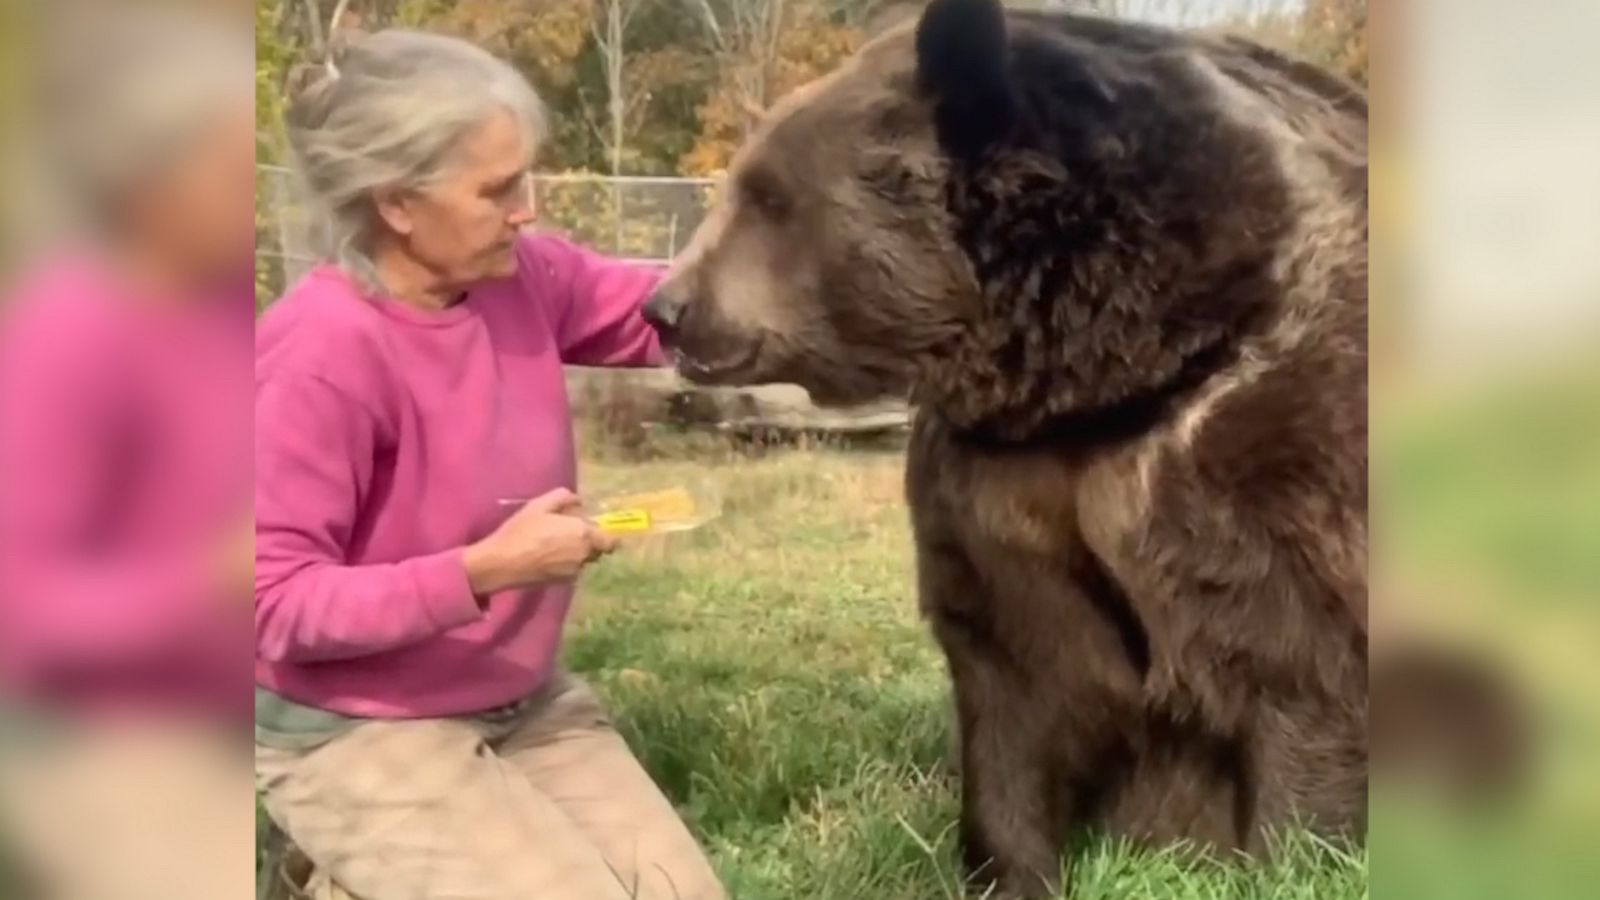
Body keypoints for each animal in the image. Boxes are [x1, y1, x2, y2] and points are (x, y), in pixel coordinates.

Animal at [643, 1, 1369, 890]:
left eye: (770, 197)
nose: (666, 307)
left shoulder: (1255, 457)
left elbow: (1291, 665)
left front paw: (1289, 857)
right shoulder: (1002, 493)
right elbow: (1011, 688)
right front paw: (1010, 870)